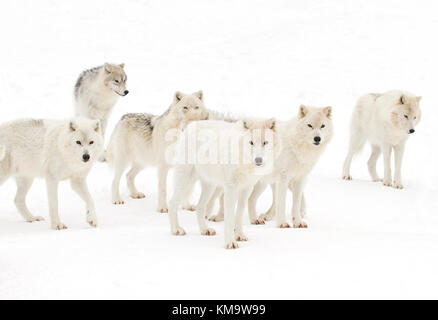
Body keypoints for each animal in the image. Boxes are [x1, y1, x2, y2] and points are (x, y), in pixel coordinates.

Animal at [168, 118, 280, 250]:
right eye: (251, 142)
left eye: (265, 143)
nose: (258, 160)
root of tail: (190, 125)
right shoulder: (230, 189)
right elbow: (230, 218)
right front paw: (230, 242)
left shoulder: (246, 189)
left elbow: (239, 214)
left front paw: (240, 235)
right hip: (185, 180)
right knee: (172, 203)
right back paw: (176, 229)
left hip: (210, 187)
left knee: (200, 207)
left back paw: (205, 230)